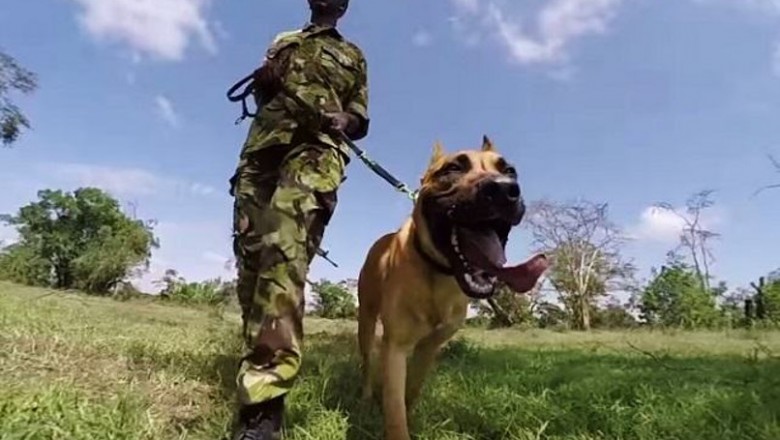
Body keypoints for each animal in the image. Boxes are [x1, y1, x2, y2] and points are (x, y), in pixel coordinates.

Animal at [354, 137, 544, 440]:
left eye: (510, 170)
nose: (504, 189)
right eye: (453, 168)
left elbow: (411, 389)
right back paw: (365, 396)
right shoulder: (395, 347)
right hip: (366, 322)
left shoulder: (429, 347)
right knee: (366, 366)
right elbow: (395, 412)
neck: (440, 272)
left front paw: (410, 409)